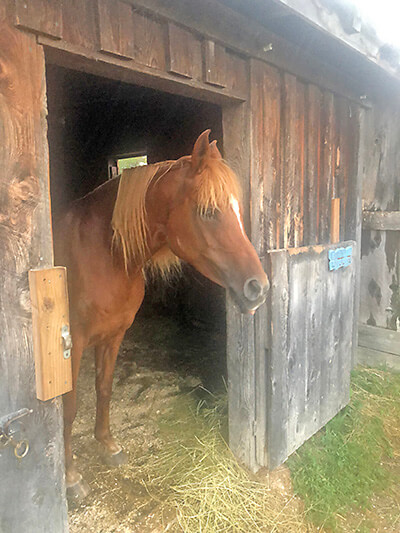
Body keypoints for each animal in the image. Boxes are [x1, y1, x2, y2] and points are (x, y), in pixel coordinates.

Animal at [53, 131, 268, 496]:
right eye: (208, 211)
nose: (259, 287)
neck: (103, 252)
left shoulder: (114, 335)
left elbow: (104, 389)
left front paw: (108, 445)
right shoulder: (73, 346)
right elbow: (69, 408)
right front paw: (70, 478)